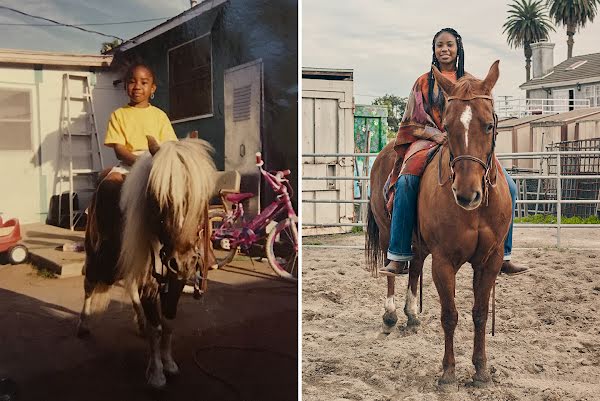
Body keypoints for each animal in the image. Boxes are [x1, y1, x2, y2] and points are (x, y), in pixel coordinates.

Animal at [76, 135, 214, 388]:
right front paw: (156, 372)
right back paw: (84, 324)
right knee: (90, 285)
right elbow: (156, 328)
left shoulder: (173, 279)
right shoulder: (149, 279)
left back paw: (139, 322)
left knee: (130, 287)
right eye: (160, 198)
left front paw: (168, 363)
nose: (182, 262)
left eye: (200, 198)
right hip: (97, 258)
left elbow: (168, 322)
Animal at [366, 61, 510, 386]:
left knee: (415, 266)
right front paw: (448, 372)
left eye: (489, 125)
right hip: (387, 231)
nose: (467, 194)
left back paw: (412, 316)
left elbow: (480, 313)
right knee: (393, 268)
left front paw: (481, 370)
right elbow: (450, 315)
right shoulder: (444, 261)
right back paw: (391, 316)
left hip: (420, 245)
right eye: (448, 126)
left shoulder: (491, 260)